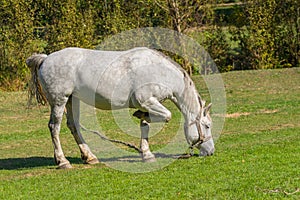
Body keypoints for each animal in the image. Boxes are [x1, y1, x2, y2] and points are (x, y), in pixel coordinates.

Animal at [25, 47, 213, 169]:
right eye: (207, 126)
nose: (211, 151)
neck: (160, 72)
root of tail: (46, 59)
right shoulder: (147, 101)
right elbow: (166, 116)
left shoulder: (148, 104)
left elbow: (145, 126)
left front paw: (146, 154)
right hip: (59, 101)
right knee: (54, 127)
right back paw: (63, 161)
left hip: (72, 100)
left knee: (73, 126)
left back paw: (89, 157)